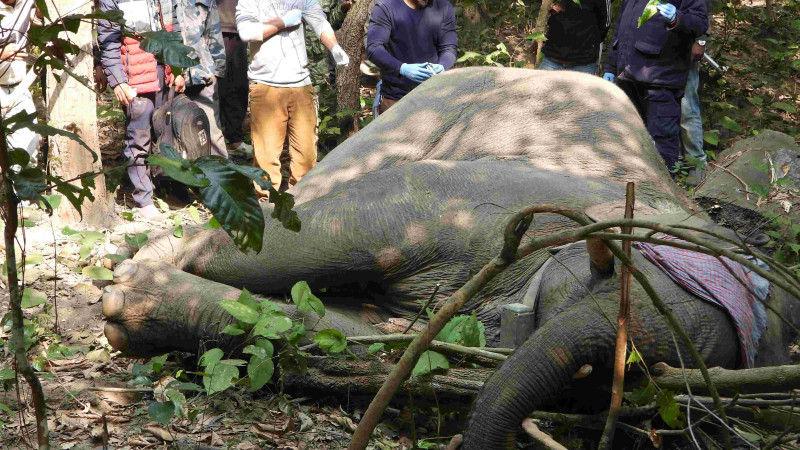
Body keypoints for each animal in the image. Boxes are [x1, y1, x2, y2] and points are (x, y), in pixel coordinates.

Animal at [99, 67, 800, 447]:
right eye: (606, 268)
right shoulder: (487, 203)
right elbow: (348, 232)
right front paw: (131, 281)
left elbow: (373, 342)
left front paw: (136, 304)